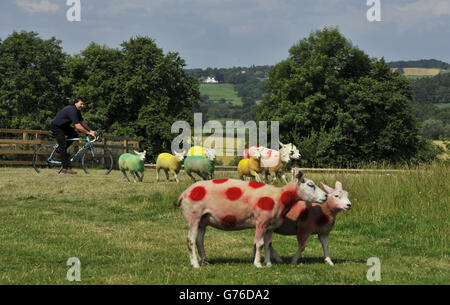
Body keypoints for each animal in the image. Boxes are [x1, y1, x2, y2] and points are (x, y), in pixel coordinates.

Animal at [176, 169, 326, 268]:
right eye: (311, 185)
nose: (325, 196)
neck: (280, 196)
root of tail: (184, 193)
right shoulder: (261, 221)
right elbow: (259, 243)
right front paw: (258, 264)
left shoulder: (270, 225)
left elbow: (268, 244)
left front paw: (268, 263)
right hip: (193, 216)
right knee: (190, 240)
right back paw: (195, 265)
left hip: (203, 220)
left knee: (199, 241)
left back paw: (205, 262)